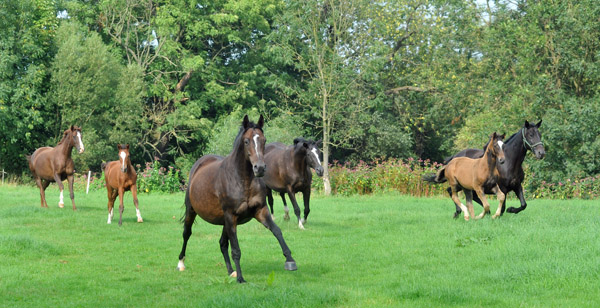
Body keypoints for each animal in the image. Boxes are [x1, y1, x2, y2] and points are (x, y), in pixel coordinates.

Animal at [176, 115, 298, 284]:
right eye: (246, 141)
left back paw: (230, 271)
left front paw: (290, 260)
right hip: (192, 211)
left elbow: (277, 231)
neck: (242, 180)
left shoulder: (260, 211)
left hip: (224, 222)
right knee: (186, 234)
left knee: (222, 243)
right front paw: (241, 278)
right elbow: (236, 249)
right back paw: (181, 263)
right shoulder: (231, 216)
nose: (260, 168)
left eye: (264, 140)